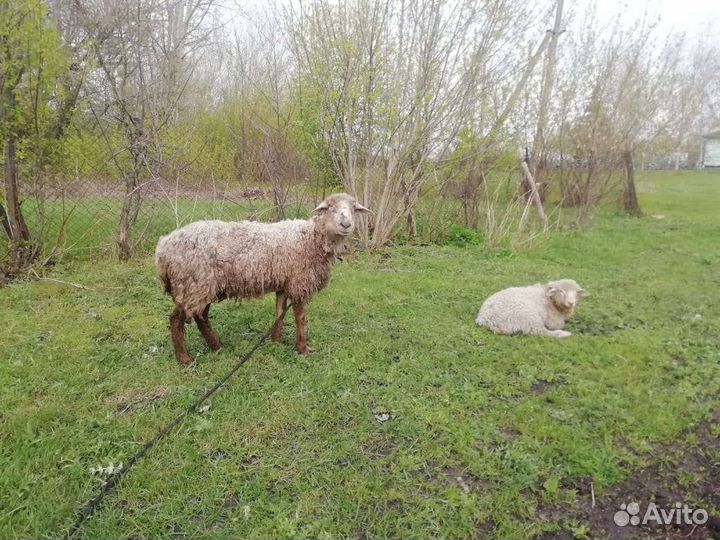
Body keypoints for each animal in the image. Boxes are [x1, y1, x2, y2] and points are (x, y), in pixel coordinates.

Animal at [155, 193, 370, 365]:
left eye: (353, 208)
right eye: (330, 207)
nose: (346, 224)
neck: (312, 239)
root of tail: (163, 247)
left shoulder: (284, 282)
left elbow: (280, 312)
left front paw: (277, 341)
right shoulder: (299, 283)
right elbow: (300, 319)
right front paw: (303, 349)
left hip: (203, 285)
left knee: (200, 317)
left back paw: (217, 346)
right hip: (193, 283)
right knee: (176, 319)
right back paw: (185, 359)